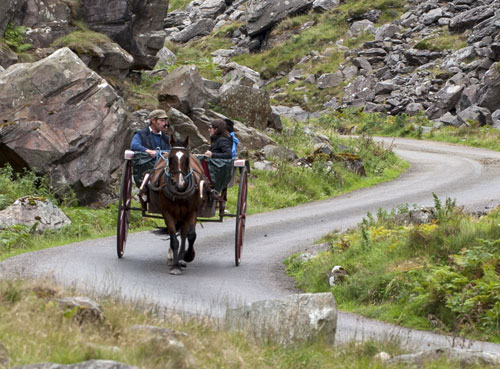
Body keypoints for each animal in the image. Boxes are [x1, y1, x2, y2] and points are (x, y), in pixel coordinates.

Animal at [150, 135, 209, 274]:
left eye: (186, 160)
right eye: (170, 158)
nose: (179, 183)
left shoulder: (192, 212)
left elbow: (191, 236)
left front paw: (188, 256)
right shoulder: (168, 213)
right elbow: (174, 239)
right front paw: (175, 266)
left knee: (184, 234)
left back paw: (181, 258)